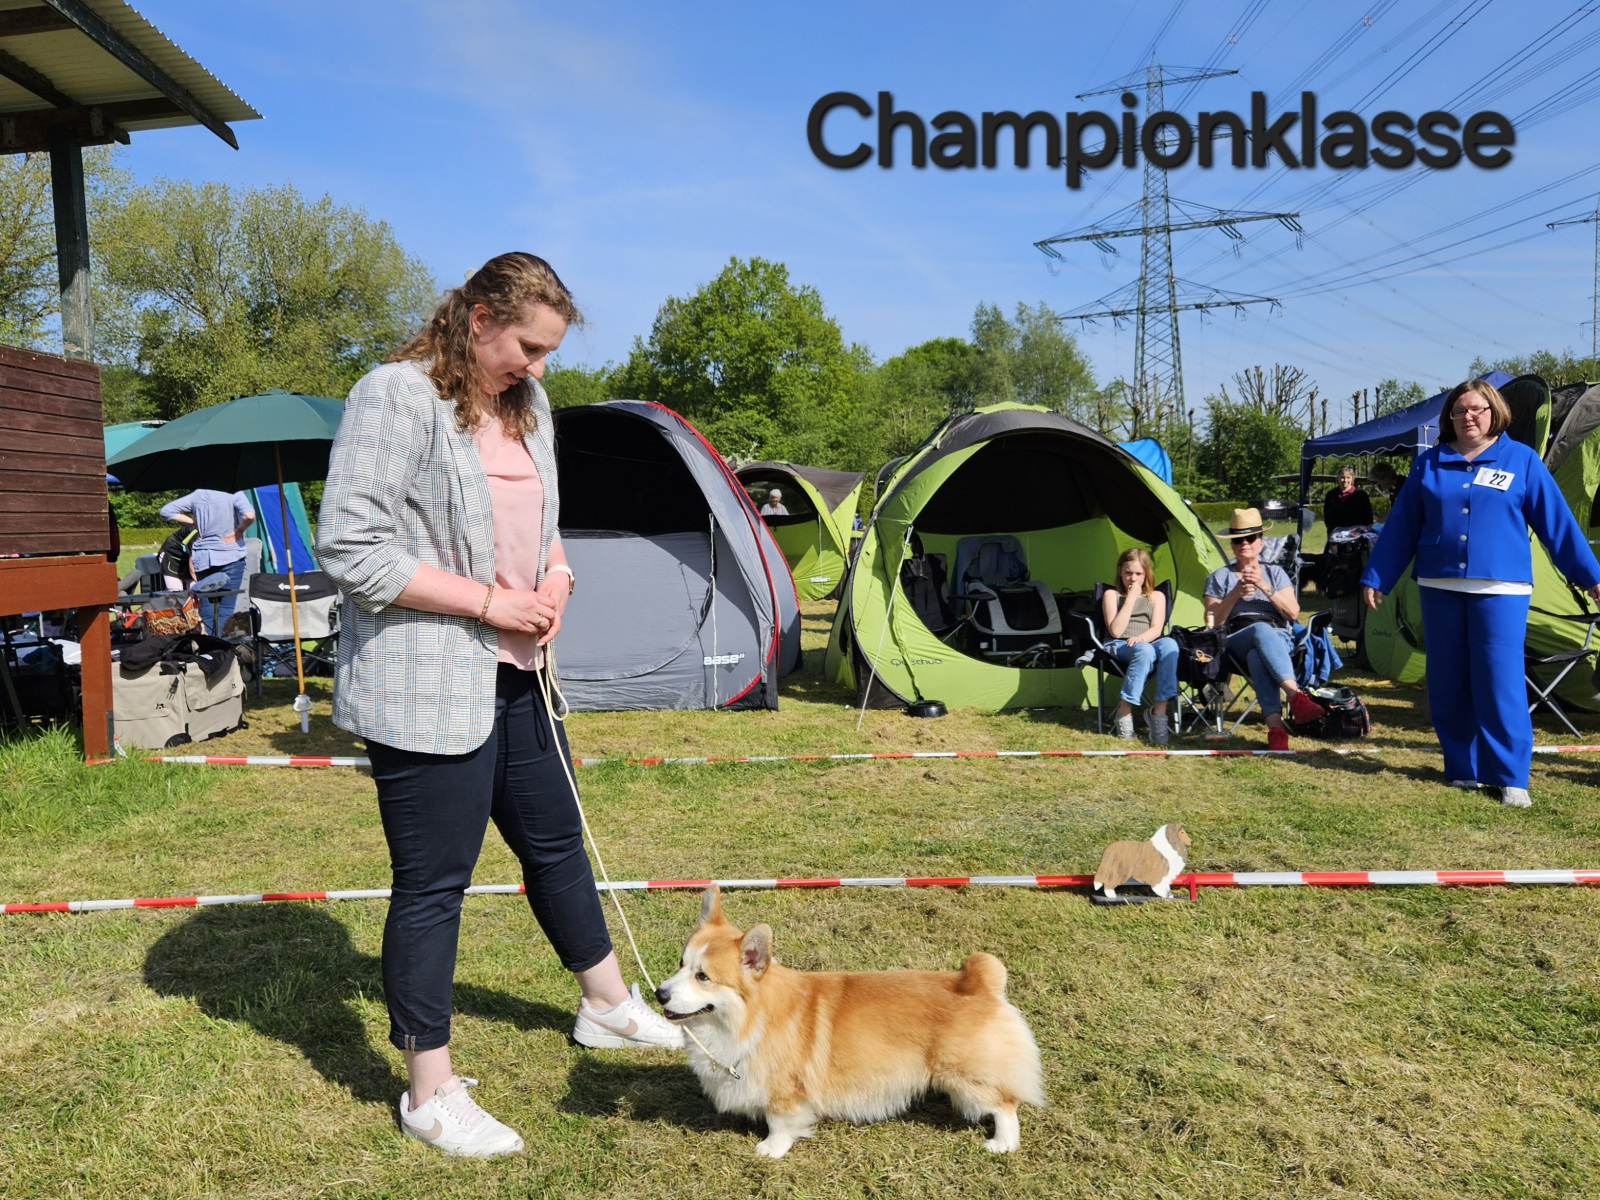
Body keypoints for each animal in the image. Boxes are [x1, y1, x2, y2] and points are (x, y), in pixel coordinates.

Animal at [653, 885, 1045, 1158]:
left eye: (703, 977)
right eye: (680, 963)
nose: (659, 994)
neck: (749, 1017)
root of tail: (978, 982)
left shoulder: (785, 1092)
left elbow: (780, 1123)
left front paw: (771, 1149)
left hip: (966, 1075)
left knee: (1005, 1105)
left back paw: (1001, 1144)